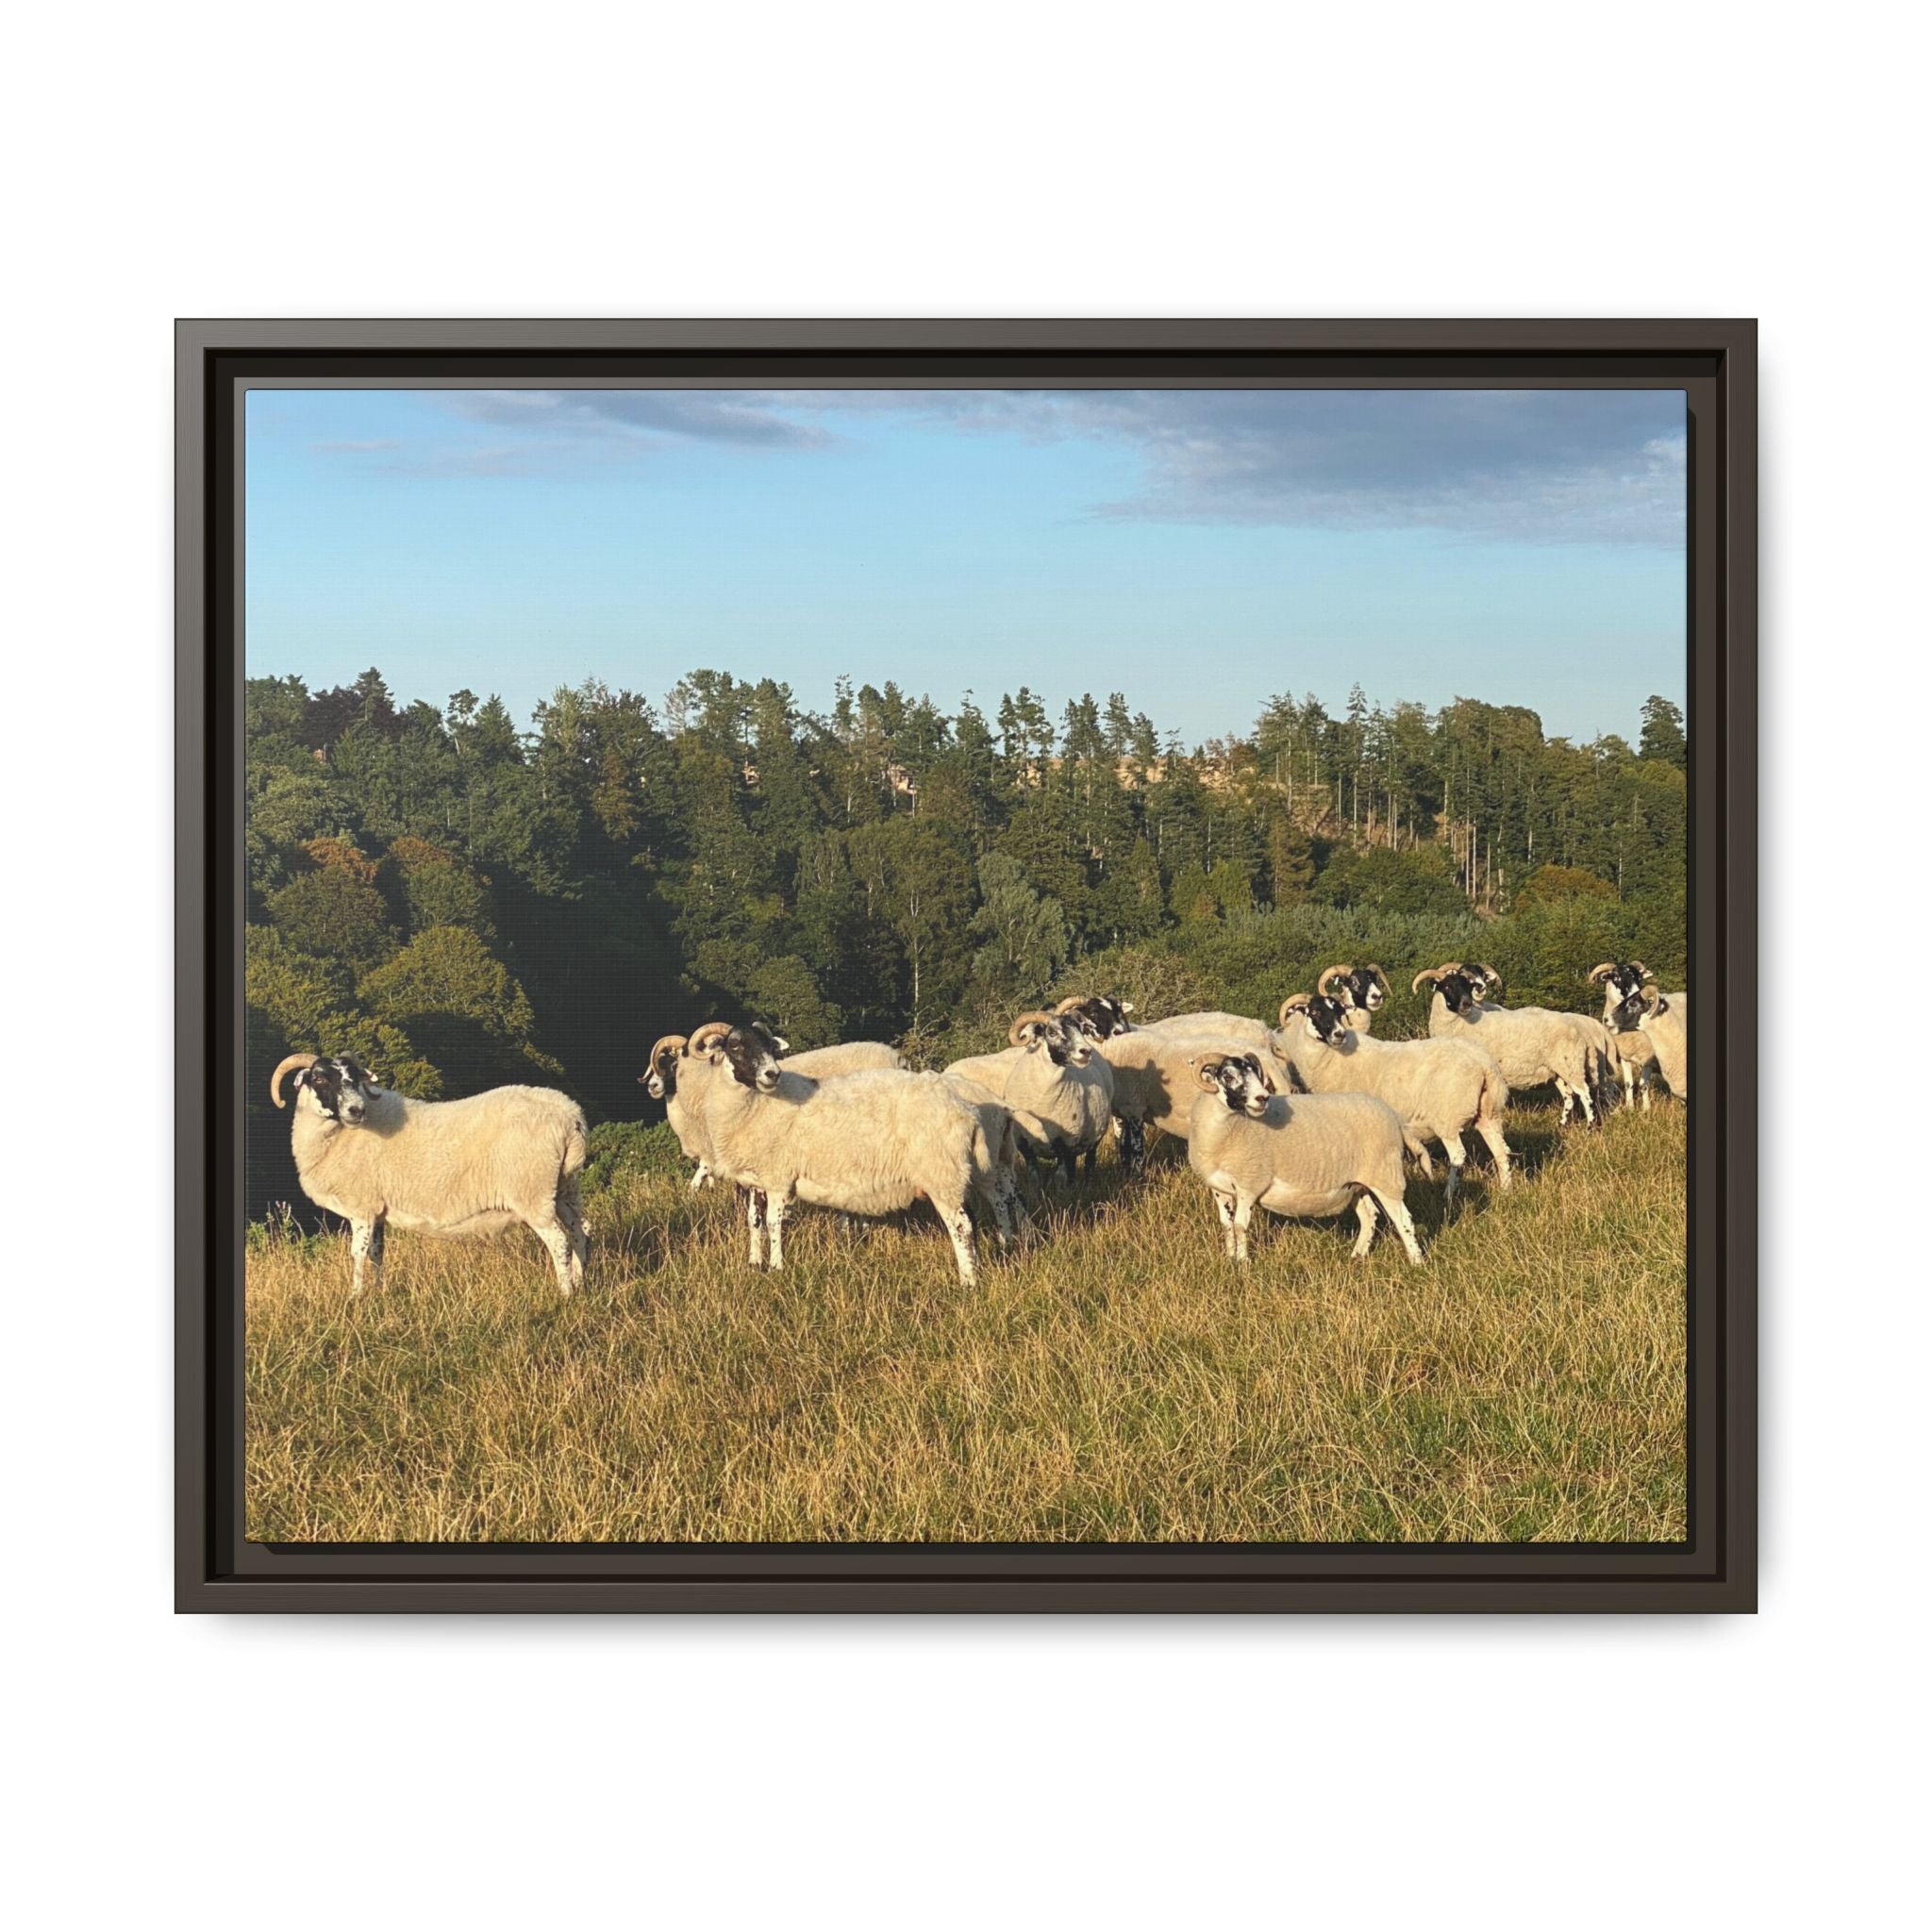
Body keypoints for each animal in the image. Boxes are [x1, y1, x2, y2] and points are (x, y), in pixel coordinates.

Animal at [269, 1052, 589, 1297]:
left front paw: (355, 1297)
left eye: (354, 1078)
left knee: (559, 1241)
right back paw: (581, 1284)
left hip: (532, 1192)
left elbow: (357, 1254)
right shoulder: (378, 1210)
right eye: (320, 1079)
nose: (356, 1109)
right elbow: (377, 1253)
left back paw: (565, 1294)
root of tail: (570, 1115)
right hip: (564, 1187)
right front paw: (379, 1293)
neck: (338, 1137)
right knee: (581, 1231)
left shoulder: (362, 1207)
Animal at [696, 1027, 989, 1284]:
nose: (772, 1073)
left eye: (770, 1046)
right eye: (735, 1045)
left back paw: (968, 1281)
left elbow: (772, 1223)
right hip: (953, 1176)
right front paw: (754, 1263)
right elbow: (754, 1222)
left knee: (961, 1226)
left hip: (941, 1175)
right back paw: (975, 1269)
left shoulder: (779, 1177)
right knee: (971, 1221)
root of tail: (966, 1111)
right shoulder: (757, 1179)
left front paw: (777, 1267)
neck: (758, 1105)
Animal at [1185, 1050, 1423, 1265]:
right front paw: (1230, 1259)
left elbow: (1240, 1226)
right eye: (1227, 1076)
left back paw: (1416, 1262)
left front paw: (1243, 1264)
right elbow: (1227, 1225)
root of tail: (1394, 1117)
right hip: (1357, 1183)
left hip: (1386, 1176)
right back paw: (1356, 1257)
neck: (1230, 1128)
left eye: (1255, 1074)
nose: (1262, 1098)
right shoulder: (1219, 1189)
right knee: (1370, 1215)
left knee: (1404, 1220)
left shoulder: (1249, 1184)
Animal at [1270, 993, 1512, 1209]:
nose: (1339, 1034)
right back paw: (1505, 1189)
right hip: (1488, 1112)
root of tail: (1484, 1064)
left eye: (1339, 1012)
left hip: (1449, 1117)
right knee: (1501, 1150)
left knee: (1458, 1156)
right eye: (1316, 1012)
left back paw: (1449, 1196)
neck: (1332, 1057)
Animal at [1412, 961, 1609, 1125]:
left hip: (1572, 1065)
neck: (1462, 1023)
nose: (1467, 1003)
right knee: (1569, 1096)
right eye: (1447, 986)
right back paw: (1563, 1124)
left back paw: (1591, 1127)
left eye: (1468, 986)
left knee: (1585, 1094)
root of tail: (1581, 1030)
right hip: (1558, 1069)